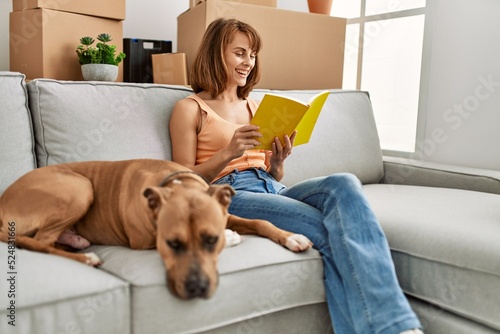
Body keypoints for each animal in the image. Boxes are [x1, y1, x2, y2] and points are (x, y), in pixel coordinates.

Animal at [0, 160, 310, 298]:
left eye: (210, 239)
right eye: (171, 243)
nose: (196, 287)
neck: (176, 185)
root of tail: (3, 204)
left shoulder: (224, 213)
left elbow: (259, 222)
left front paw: (291, 237)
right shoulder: (142, 240)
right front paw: (232, 237)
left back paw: (76, 242)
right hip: (79, 187)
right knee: (40, 241)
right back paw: (87, 257)